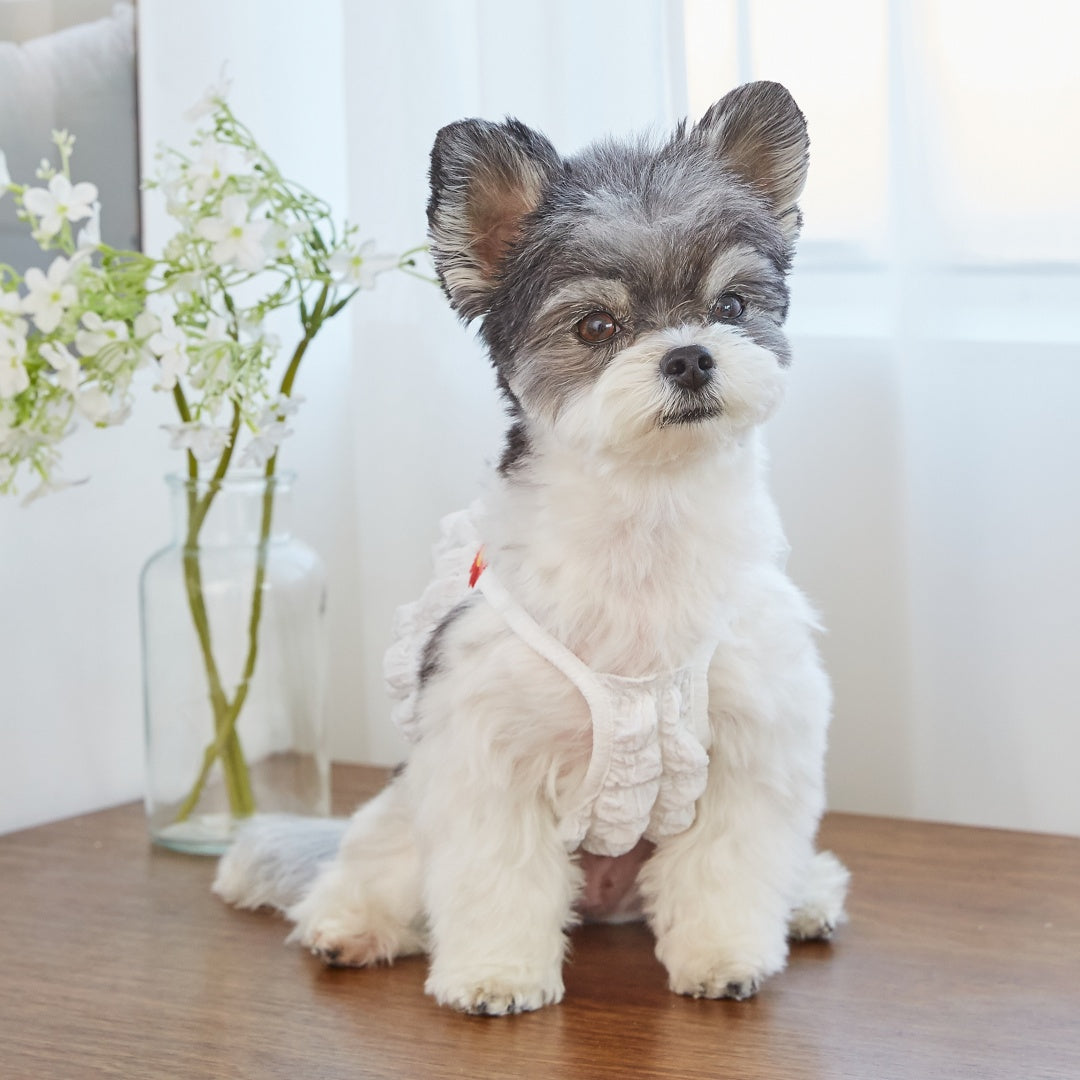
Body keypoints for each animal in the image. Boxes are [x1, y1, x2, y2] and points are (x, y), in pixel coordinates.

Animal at [214, 82, 846, 1010]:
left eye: (729, 306)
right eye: (595, 326)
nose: (691, 358)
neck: (644, 530)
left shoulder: (753, 749)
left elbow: (727, 872)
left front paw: (725, 956)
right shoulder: (486, 755)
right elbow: (495, 879)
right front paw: (495, 976)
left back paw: (805, 898)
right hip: (406, 809)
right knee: (368, 867)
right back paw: (350, 925)